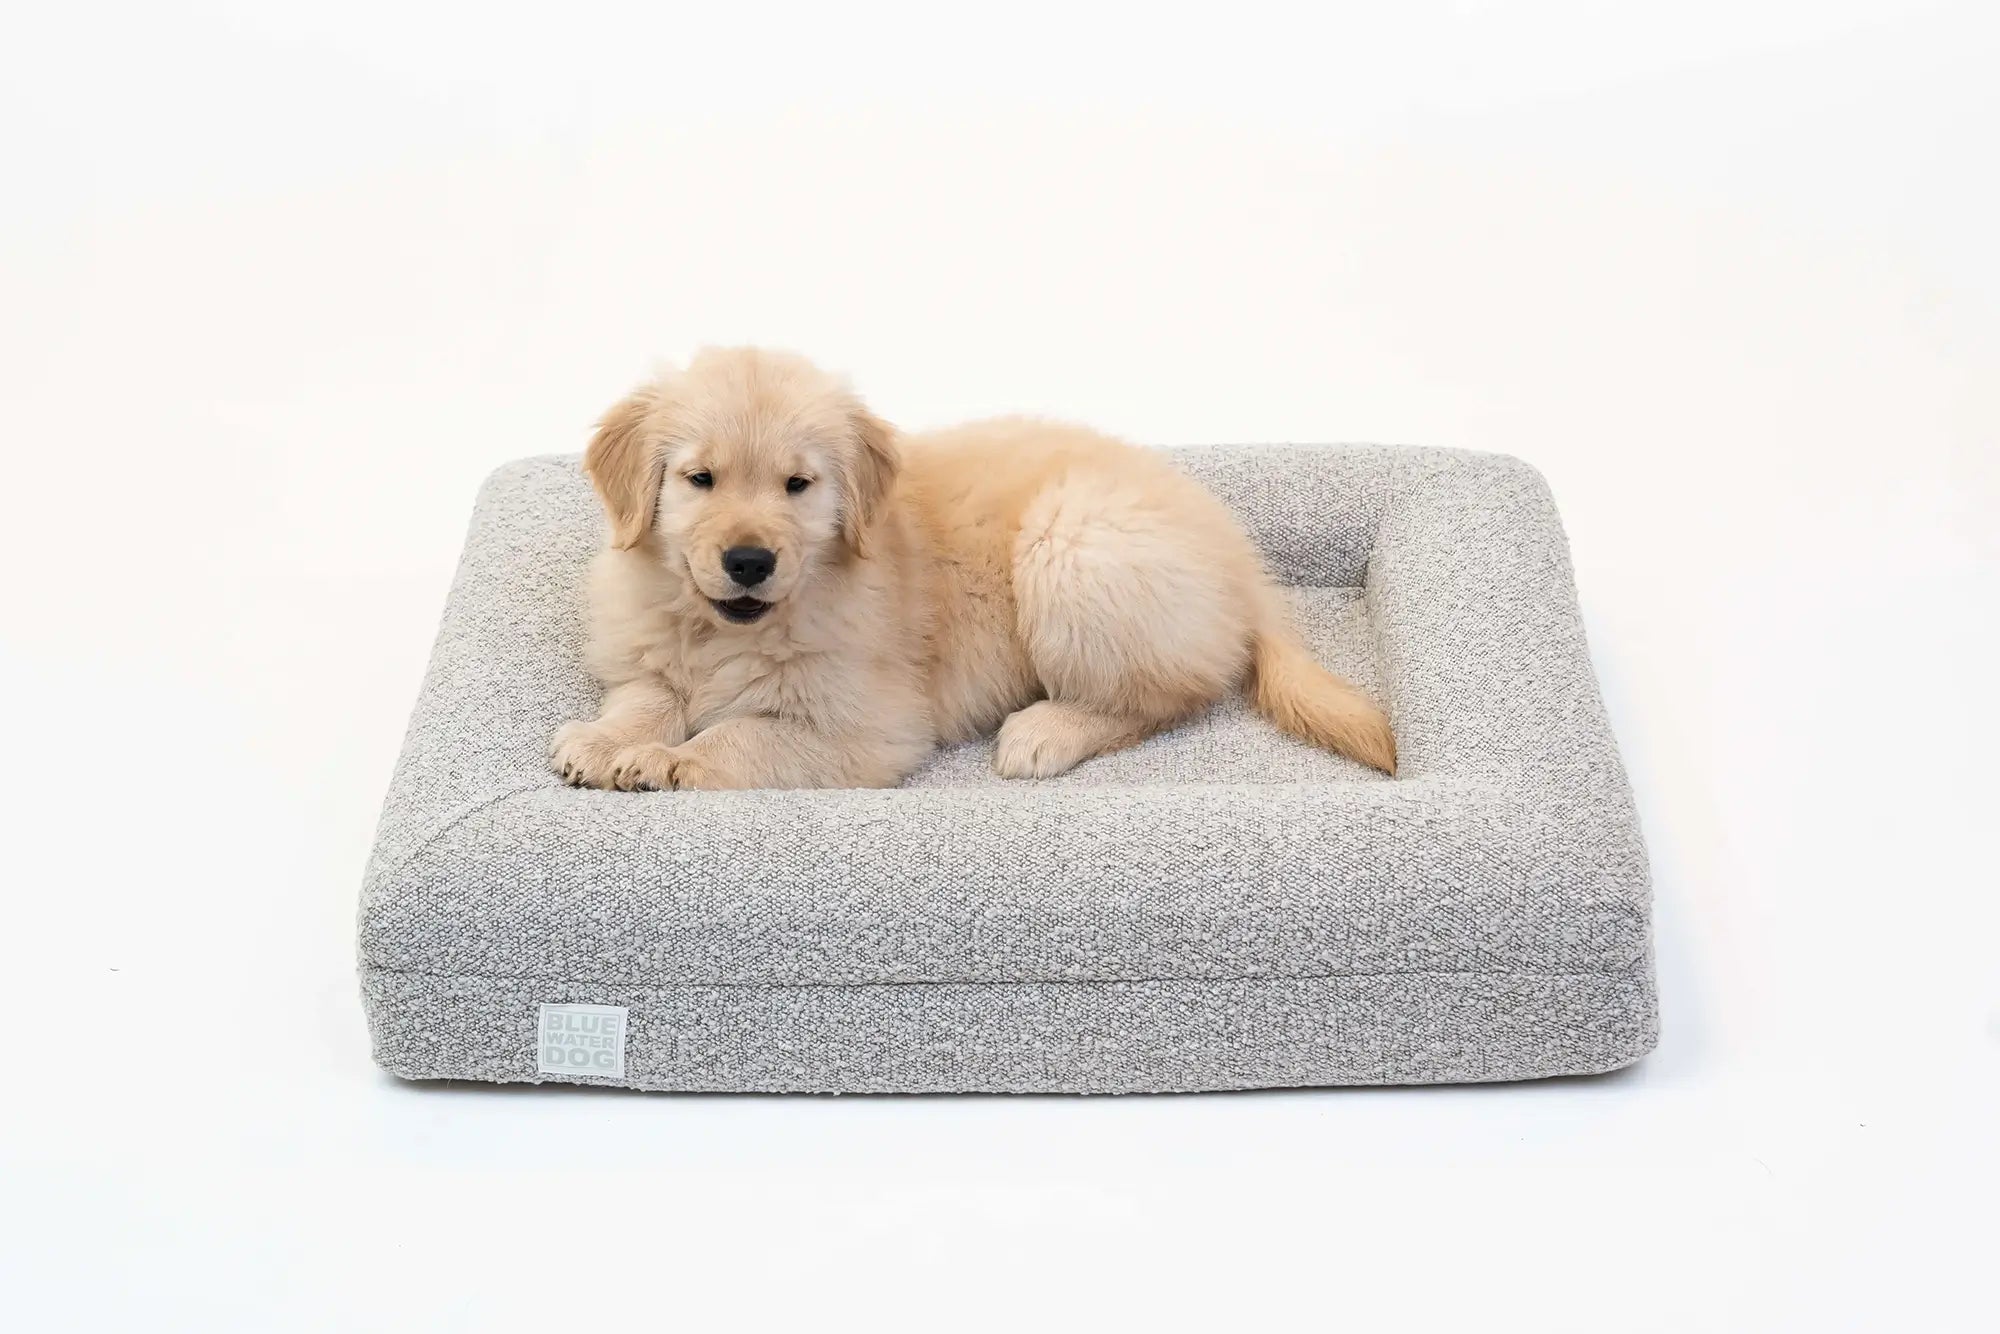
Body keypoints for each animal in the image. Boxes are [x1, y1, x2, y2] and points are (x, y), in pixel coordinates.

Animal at [548, 348, 1392, 792]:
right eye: (700, 480)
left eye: (797, 485)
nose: (749, 561)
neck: (727, 630)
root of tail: (1241, 558)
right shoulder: (647, 651)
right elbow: (647, 696)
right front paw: (605, 740)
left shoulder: (872, 728)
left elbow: (743, 737)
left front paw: (666, 759)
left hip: (1072, 545)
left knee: (1172, 695)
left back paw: (1047, 731)